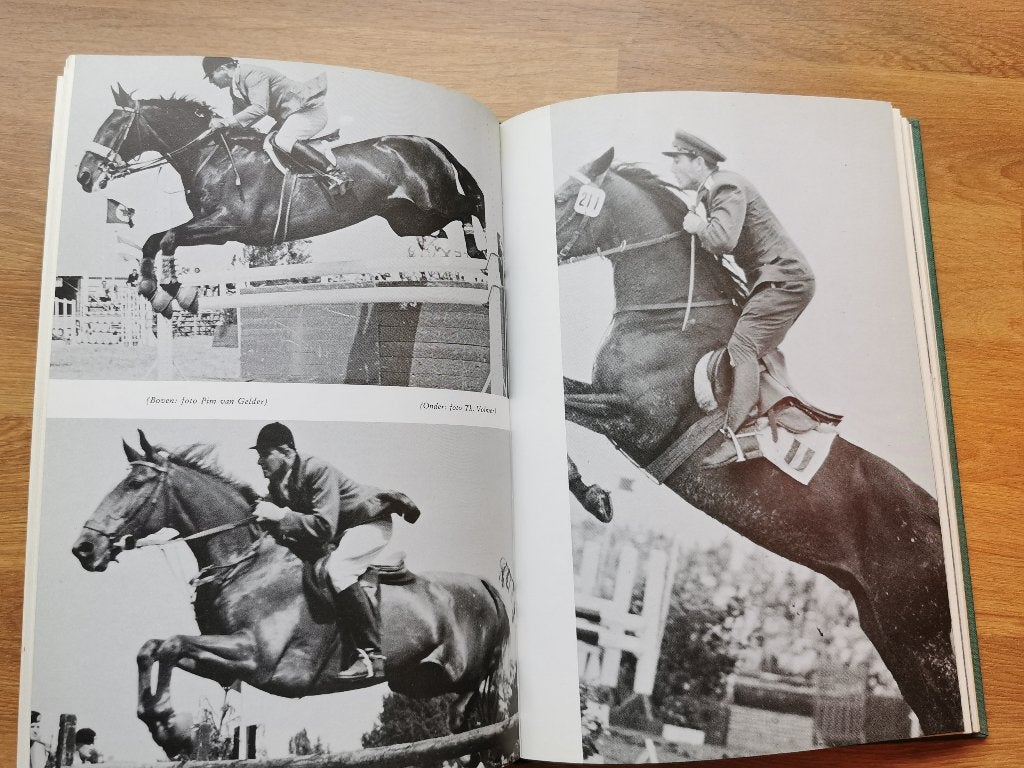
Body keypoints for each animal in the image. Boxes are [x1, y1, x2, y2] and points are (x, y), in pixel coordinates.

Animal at [70, 432, 509, 759]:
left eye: (135, 484)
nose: (84, 549)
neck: (244, 563)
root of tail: (485, 583)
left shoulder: (257, 657)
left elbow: (172, 644)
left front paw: (169, 726)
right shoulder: (227, 663)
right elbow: (154, 648)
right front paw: (165, 729)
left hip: (458, 672)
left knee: (472, 709)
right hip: (415, 681)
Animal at [77, 85, 488, 316]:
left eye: (113, 127)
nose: (83, 176)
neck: (212, 155)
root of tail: (425, 140)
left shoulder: (226, 225)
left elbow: (166, 238)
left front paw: (175, 292)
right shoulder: (213, 228)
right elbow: (155, 239)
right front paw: (156, 290)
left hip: (432, 205)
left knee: (472, 204)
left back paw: (482, 256)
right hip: (408, 221)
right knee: (458, 212)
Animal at [553, 148, 963, 735]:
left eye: (567, 197)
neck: (668, 318)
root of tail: (935, 517)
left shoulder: (635, 418)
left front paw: (593, 495)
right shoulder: (611, 402)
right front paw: (592, 493)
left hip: (917, 635)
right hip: (890, 632)